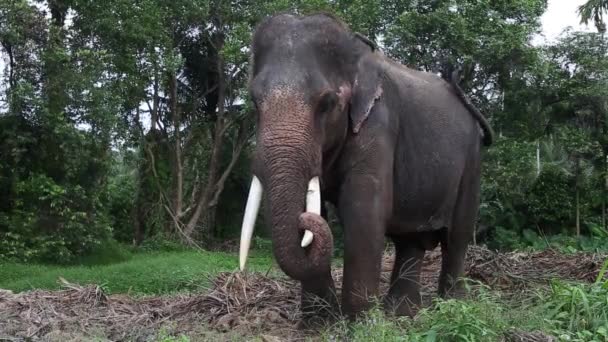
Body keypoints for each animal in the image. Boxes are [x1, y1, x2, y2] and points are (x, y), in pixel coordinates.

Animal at [238, 12, 494, 320]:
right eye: (254, 101)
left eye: (327, 103)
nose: (304, 221)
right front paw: (320, 323)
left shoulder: (379, 123)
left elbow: (363, 207)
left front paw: (360, 322)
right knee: (411, 240)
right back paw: (402, 313)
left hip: (472, 161)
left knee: (457, 236)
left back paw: (452, 307)